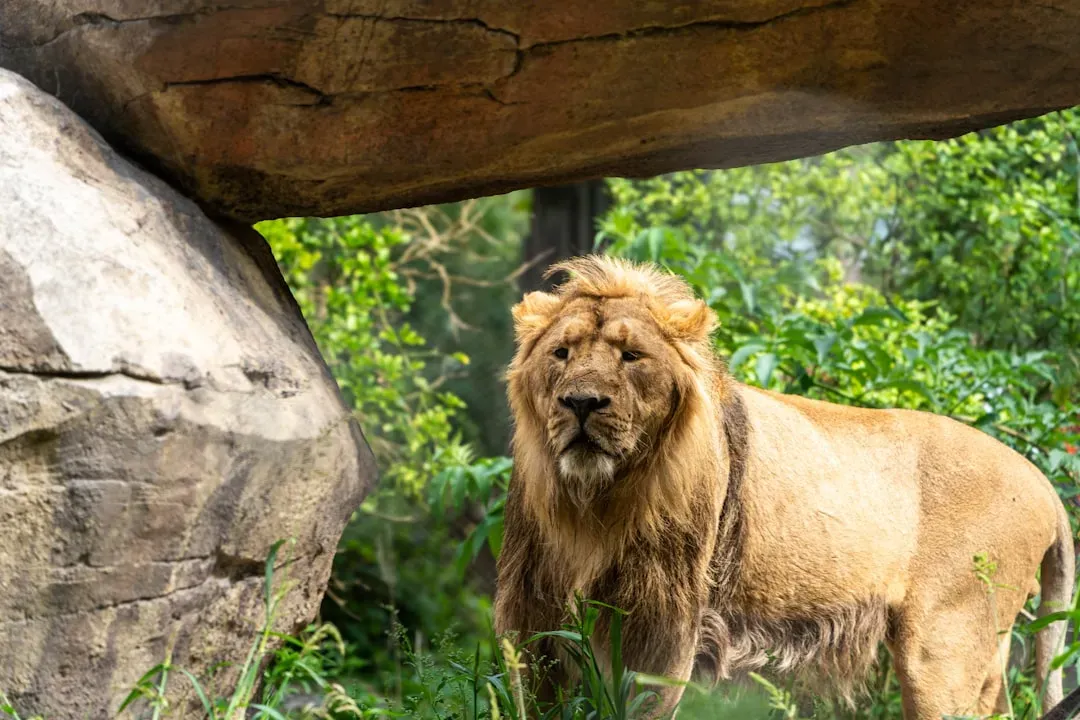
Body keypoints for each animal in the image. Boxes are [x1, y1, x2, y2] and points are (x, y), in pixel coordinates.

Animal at [493, 255, 1075, 719]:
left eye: (632, 356)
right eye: (562, 353)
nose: (581, 402)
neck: (593, 502)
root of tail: (1042, 481)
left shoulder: (661, 621)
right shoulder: (533, 606)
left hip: (946, 643)